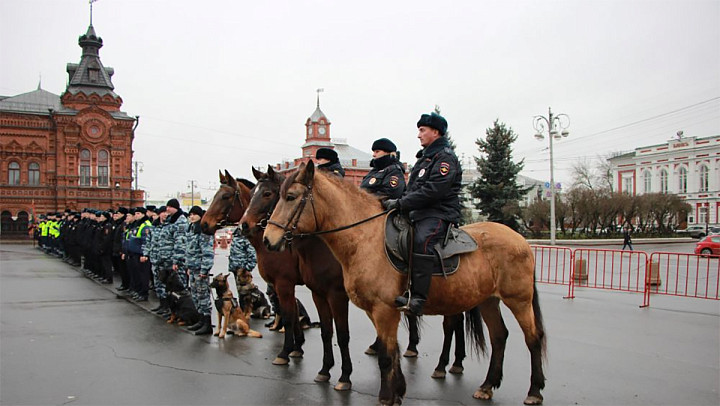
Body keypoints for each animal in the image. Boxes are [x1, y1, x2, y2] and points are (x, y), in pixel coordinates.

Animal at [264, 162, 544, 406]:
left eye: (290, 196)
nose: (268, 239)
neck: (365, 239)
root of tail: (519, 239)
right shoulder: (373, 311)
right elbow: (391, 351)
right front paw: (397, 392)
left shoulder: (383, 310)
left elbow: (386, 355)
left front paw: (386, 396)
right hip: (488, 301)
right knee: (499, 337)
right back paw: (487, 386)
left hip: (519, 300)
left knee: (533, 338)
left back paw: (534, 391)